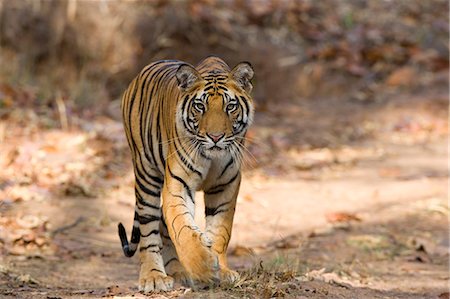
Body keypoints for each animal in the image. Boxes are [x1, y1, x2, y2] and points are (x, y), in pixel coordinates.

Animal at [118, 56, 255, 292]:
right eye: (200, 106)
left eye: (230, 106)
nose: (215, 137)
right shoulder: (177, 184)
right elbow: (182, 228)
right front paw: (205, 267)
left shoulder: (226, 185)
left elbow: (221, 230)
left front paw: (222, 270)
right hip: (146, 177)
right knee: (149, 230)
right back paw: (154, 277)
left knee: (163, 223)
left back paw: (178, 272)